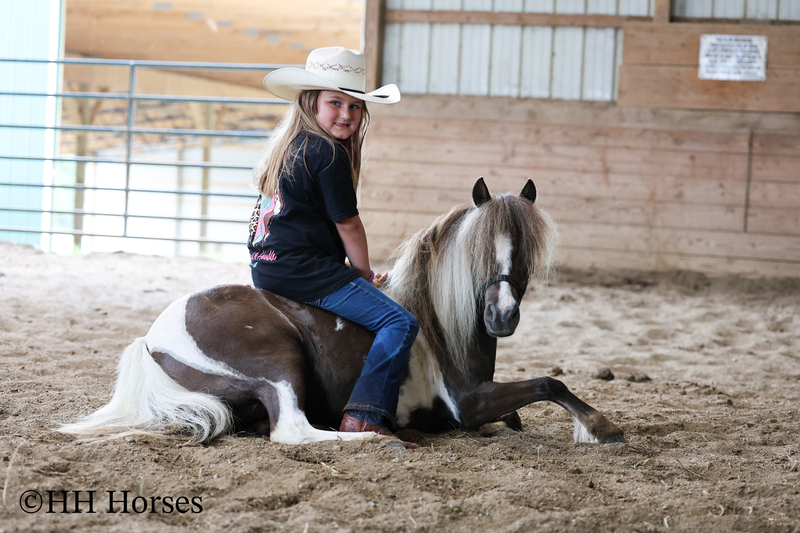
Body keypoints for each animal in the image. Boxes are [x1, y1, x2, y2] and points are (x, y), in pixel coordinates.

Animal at [59, 178, 624, 447]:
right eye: (480, 254)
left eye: (523, 254)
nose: (503, 316)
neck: (441, 326)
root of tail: (152, 339)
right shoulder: (467, 402)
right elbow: (550, 383)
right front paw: (600, 425)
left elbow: (519, 413)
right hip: (280, 363)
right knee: (294, 430)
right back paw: (380, 440)